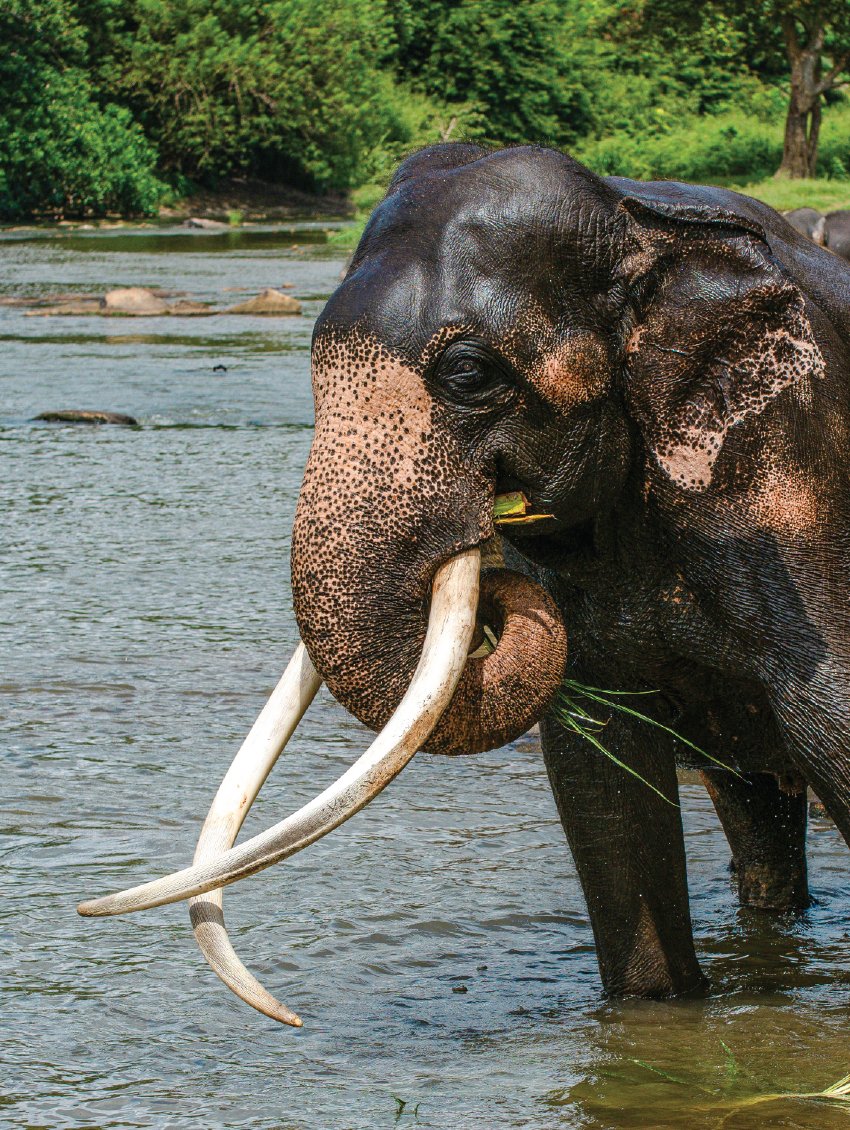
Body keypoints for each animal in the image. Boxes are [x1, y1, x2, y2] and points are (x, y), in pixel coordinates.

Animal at [80, 143, 850, 1026]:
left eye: (469, 373)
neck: (637, 221)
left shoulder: (795, 478)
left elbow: (833, 724)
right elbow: (602, 780)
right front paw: (654, 1019)